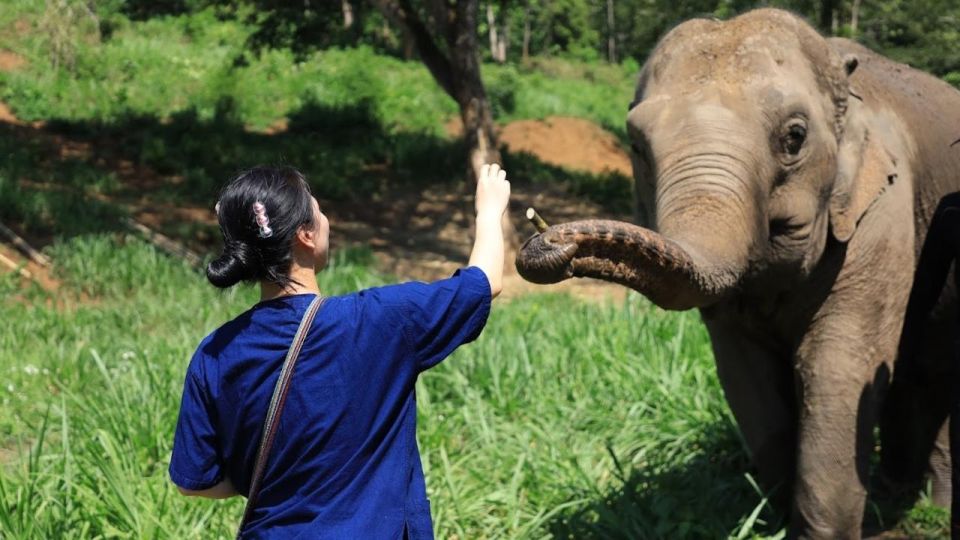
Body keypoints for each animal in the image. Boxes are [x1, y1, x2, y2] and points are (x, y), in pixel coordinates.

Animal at [520, 8, 960, 540]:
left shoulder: (882, 212)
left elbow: (836, 366)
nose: (544, 235)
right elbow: (744, 373)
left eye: (795, 136)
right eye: (636, 145)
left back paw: (930, 506)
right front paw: (774, 517)